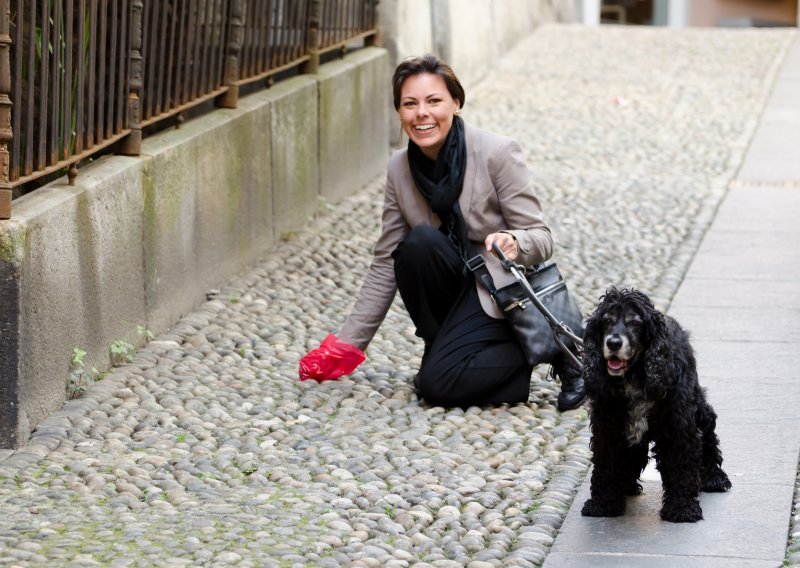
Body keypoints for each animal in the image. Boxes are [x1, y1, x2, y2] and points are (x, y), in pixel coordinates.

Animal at [580, 288, 732, 524]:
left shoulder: (678, 426)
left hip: (700, 409)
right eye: (606, 321)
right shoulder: (608, 426)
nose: (613, 343)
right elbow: (607, 465)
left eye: (635, 322)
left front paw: (682, 509)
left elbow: (680, 466)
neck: (635, 377)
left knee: (708, 438)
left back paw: (714, 476)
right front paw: (603, 504)